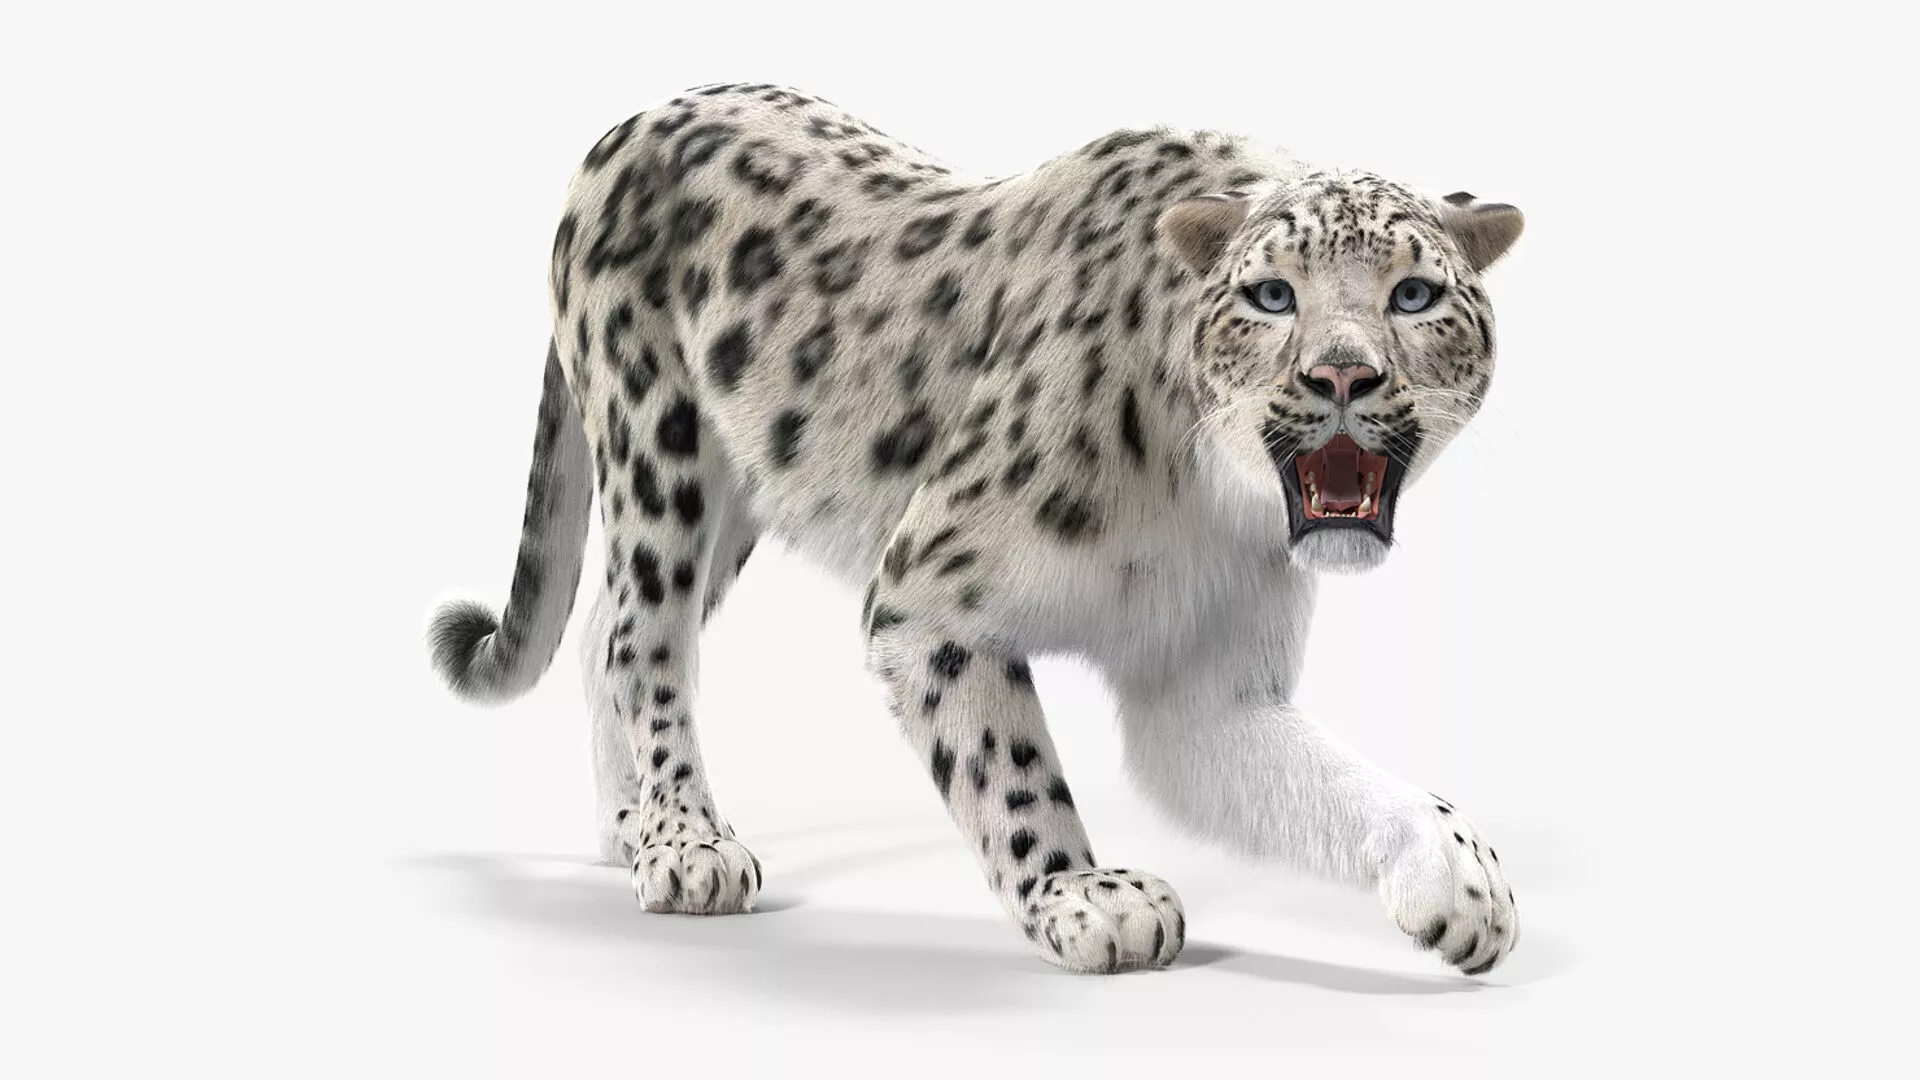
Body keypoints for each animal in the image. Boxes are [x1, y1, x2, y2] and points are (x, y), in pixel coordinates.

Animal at [426, 82, 1527, 976]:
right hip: (658, 446)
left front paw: (1462, 882)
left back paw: (629, 824)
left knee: (603, 628)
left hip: (737, 493)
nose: (1343, 377)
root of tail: (634, 120)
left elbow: (1332, 778)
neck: (1210, 501)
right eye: (1271, 294)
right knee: (637, 635)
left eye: (1414, 294)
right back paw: (686, 845)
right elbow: (1010, 763)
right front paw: (1087, 898)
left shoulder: (1205, 682)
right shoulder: (928, 596)